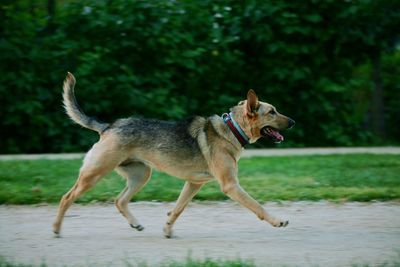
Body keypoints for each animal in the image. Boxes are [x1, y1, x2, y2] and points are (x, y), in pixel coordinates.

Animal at [53, 72, 296, 238]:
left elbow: (178, 209)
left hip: (141, 175)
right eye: (272, 112)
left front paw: (167, 230)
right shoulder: (230, 186)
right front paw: (277, 221)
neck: (232, 129)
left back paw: (135, 224)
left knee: (119, 201)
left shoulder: (193, 184)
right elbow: (257, 206)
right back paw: (56, 229)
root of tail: (108, 127)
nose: (294, 122)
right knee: (66, 197)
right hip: (94, 174)